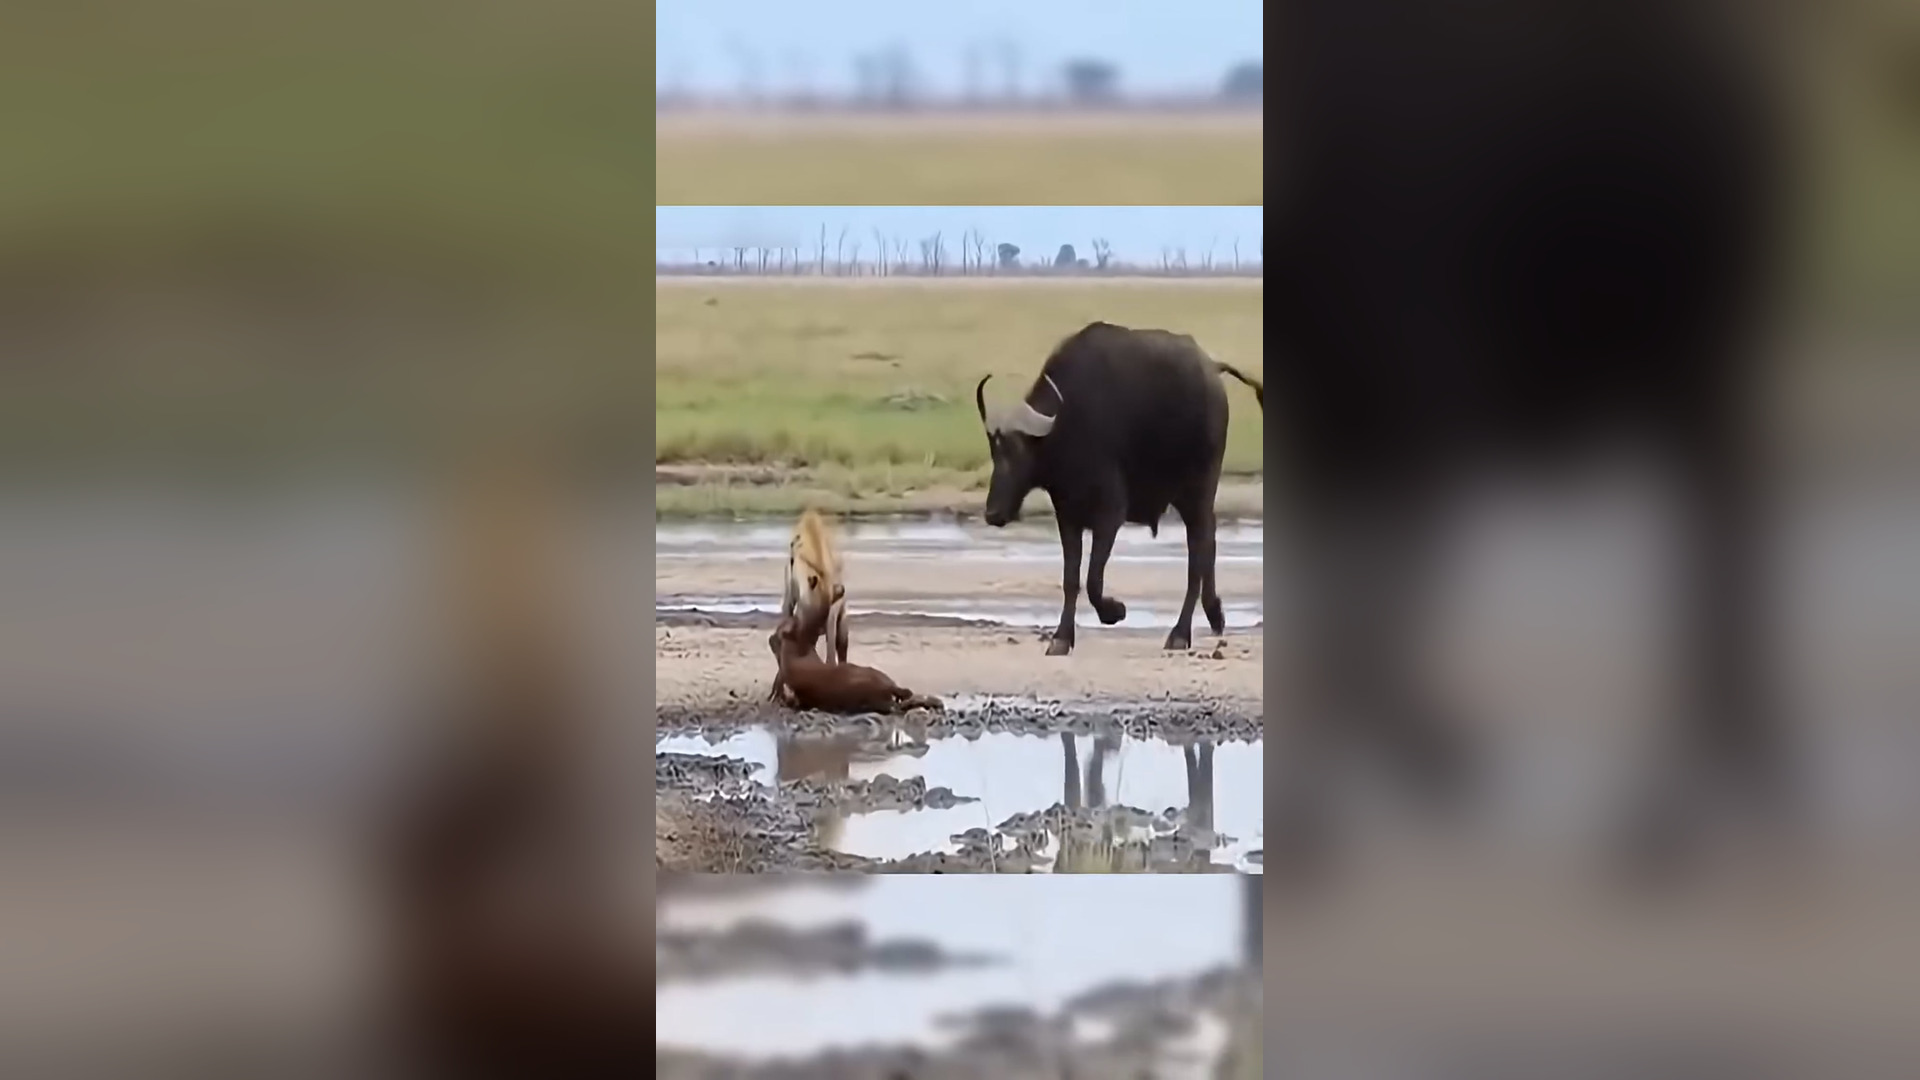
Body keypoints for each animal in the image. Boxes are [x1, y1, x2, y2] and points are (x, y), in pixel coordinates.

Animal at [974, 322, 1263, 656]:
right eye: (994, 452)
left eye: (1017, 453)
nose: (992, 513)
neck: (1067, 425)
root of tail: (1212, 368)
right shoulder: (1068, 518)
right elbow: (1071, 579)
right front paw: (1061, 638)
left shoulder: (1110, 515)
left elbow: (1093, 580)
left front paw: (1115, 611)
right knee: (1209, 543)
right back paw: (1214, 614)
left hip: (1199, 489)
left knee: (1197, 557)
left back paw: (1180, 634)